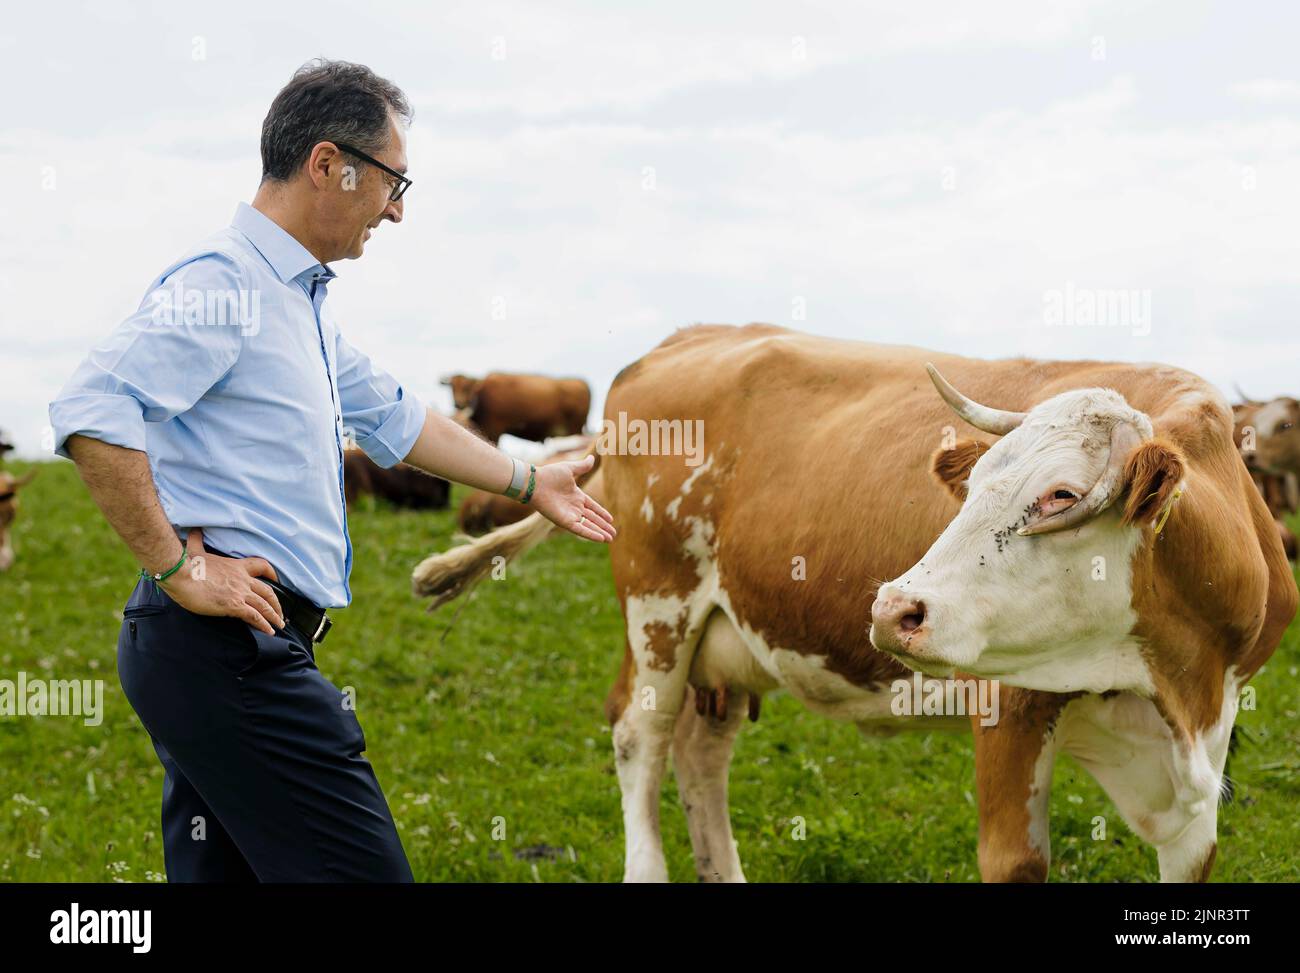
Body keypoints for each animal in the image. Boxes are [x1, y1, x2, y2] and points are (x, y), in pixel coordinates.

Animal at [441, 372, 595, 444]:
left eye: (467, 387)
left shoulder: (494, 429)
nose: (458, 404)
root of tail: (581, 382)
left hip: (575, 428)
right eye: (451, 387)